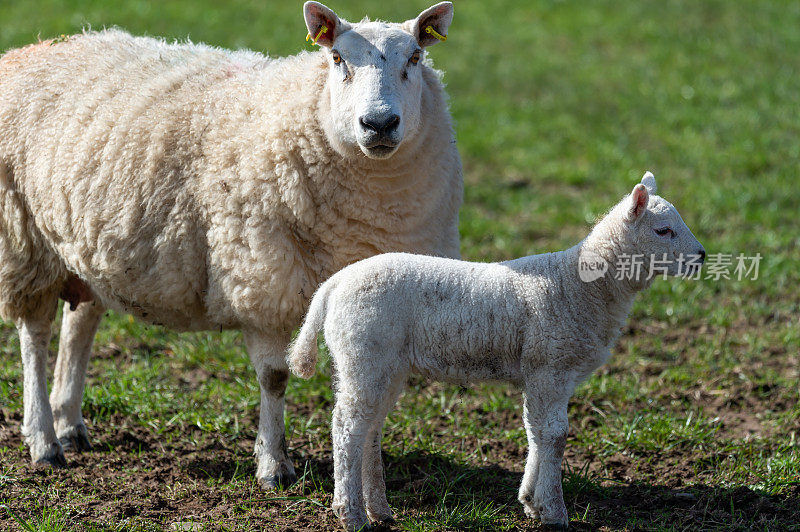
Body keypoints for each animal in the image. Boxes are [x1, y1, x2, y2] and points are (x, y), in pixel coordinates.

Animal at [0, 2, 462, 490]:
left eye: (415, 57)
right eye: (337, 58)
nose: (379, 124)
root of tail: (36, 49)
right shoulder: (263, 280)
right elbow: (274, 378)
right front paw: (274, 465)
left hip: (89, 242)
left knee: (80, 324)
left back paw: (70, 424)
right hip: (24, 238)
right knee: (35, 336)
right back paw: (43, 440)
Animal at [290, 174, 704, 528]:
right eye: (663, 230)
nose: (701, 256)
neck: (581, 286)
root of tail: (333, 285)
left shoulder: (545, 373)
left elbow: (537, 432)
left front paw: (531, 502)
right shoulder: (550, 366)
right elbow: (555, 435)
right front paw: (554, 511)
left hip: (384, 364)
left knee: (369, 428)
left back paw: (379, 509)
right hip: (364, 354)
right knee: (347, 428)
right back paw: (351, 514)